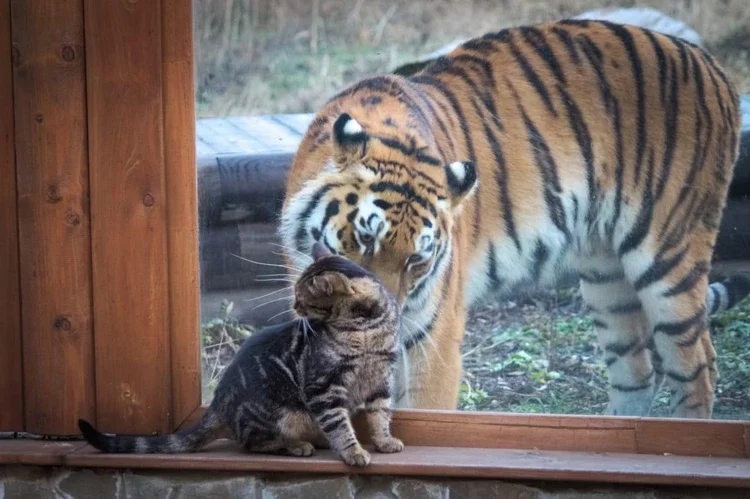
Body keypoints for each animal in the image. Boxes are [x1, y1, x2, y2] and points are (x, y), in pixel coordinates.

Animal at [79, 244, 406, 466]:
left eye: (302, 298)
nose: (293, 305)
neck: (367, 326)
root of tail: (218, 402)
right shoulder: (324, 386)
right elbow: (339, 424)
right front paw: (353, 451)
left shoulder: (381, 378)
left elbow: (380, 415)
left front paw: (383, 441)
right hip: (283, 413)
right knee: (253, 442)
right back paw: (297, 445)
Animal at [280, 18, 748, 418]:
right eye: (365, 239)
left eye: (417, 259)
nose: (378, 314)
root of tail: (712, 65)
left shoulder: (434, 337)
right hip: (605, 276)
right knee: (637, 371)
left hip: (667, 256)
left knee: (698, 366)